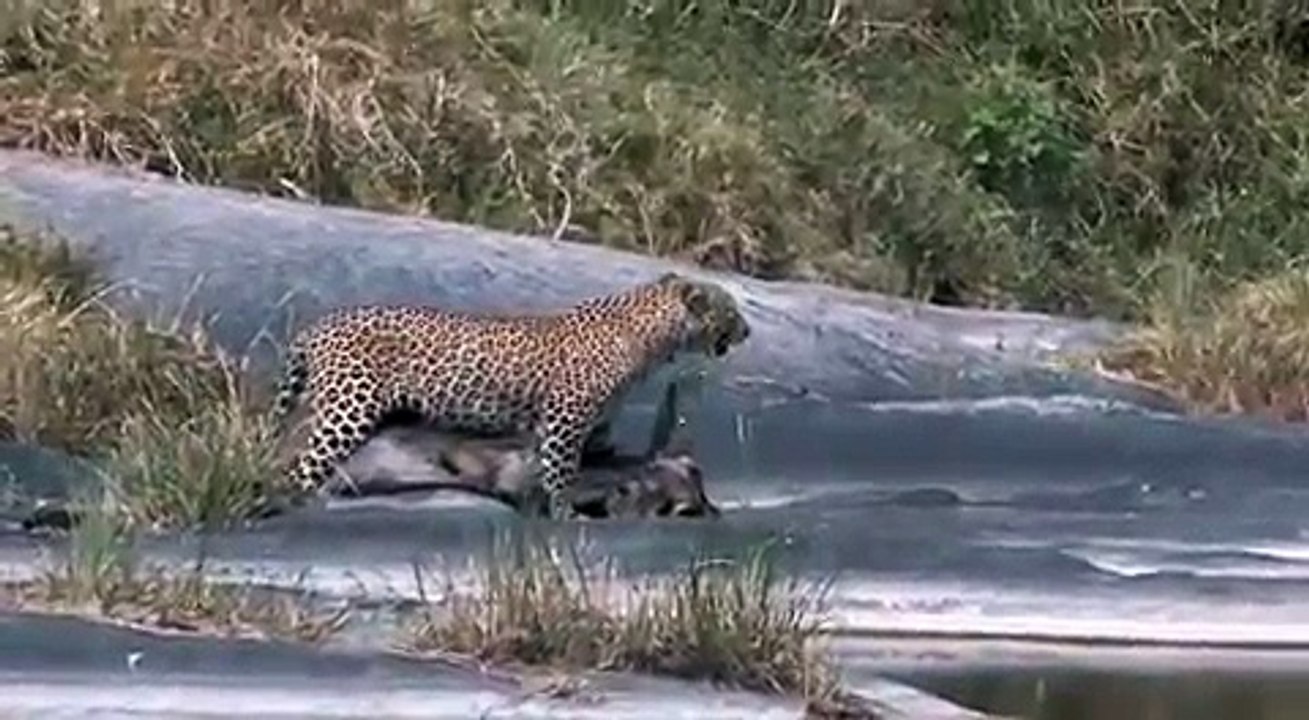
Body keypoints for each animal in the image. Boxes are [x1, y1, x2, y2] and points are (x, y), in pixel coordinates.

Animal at [269, 271, 751, 519]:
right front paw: (564, 511)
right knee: (303, 464)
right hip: (348, 409)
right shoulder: (566, 417)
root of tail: (316, 329)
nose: (747, 331)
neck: (652, 334)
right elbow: (561, 470)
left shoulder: (584, 425)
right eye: (730, 311)